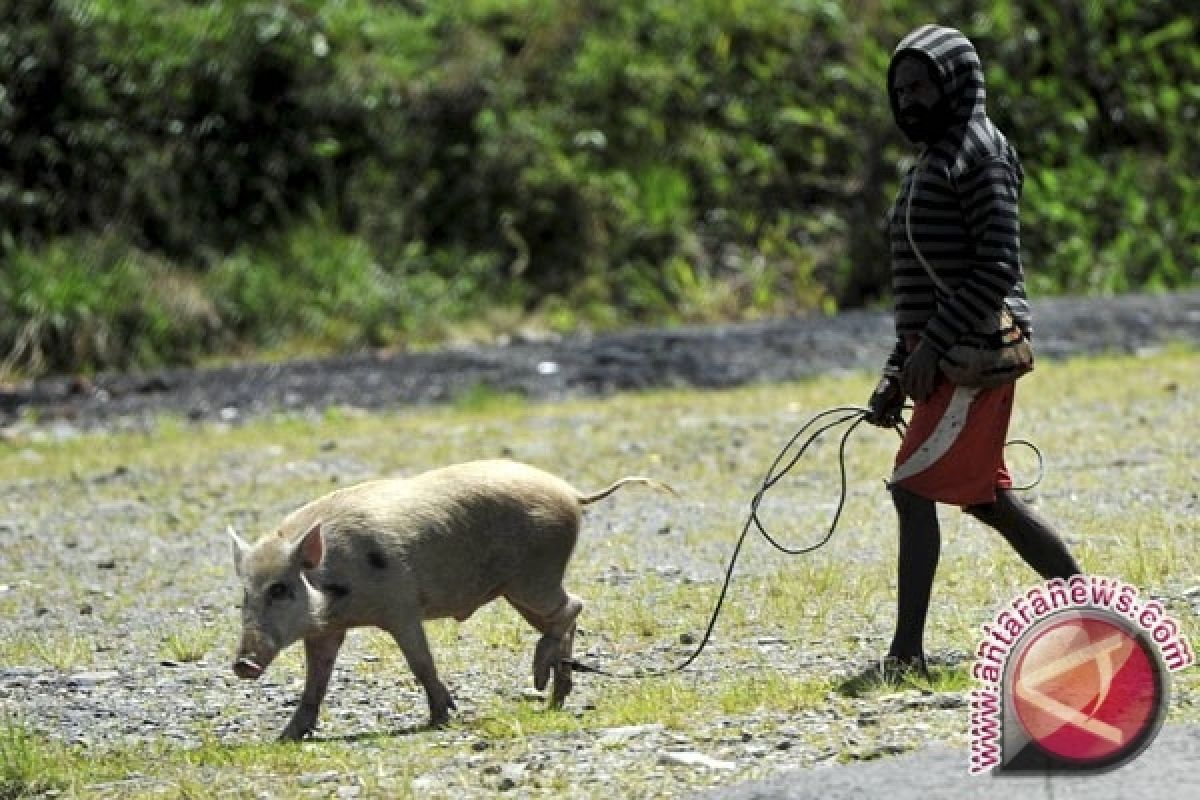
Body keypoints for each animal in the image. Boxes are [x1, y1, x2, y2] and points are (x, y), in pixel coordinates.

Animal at [229, 460, 672, 743]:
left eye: (281, 589)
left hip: (535, 577)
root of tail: (571, 493)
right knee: (564, 617)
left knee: (575, 605)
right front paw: (286, 737)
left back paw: (541, 679)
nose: (242, 663)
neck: (332, 582)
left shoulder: (402, 607)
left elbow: (420, 662)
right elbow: (315, 682)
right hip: (521, 589)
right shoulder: (326, 630)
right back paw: (554, 696)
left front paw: (442, 717)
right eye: (245, 594)